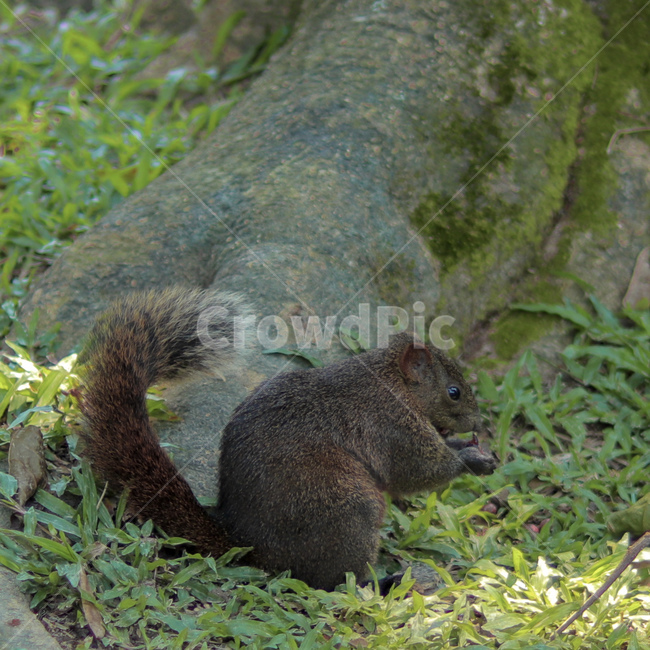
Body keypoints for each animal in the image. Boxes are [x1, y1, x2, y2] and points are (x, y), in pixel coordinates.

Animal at [79, 288, 498, 591]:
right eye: (454, 392)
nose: (479, 422)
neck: (393, 382)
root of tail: (249, 544)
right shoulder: (391, 427)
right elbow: (417, 470)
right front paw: (472, 460)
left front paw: (474, 450)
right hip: (350, 511)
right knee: (332, 582)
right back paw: (382, 583)